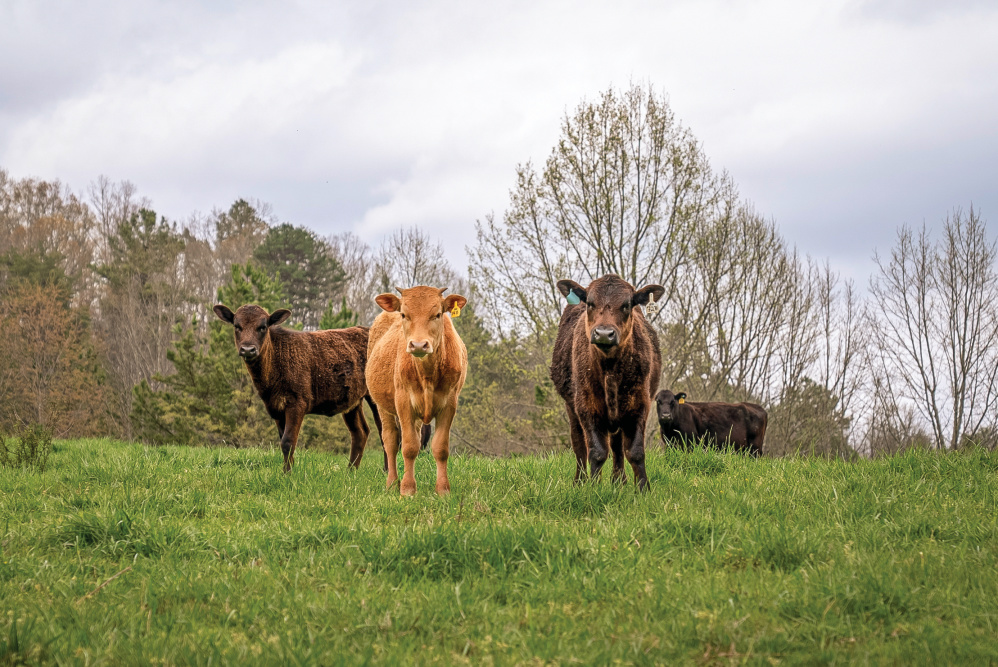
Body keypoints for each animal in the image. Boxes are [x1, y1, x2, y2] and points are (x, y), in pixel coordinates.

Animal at [213, 303, 382, 472]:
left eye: (263, 327)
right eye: (237, 326)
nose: (248, 349)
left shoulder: (297, 403)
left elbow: (288, 441)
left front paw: (287, 473)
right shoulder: (275, 407)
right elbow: (284, 440)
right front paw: (289, 470)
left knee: (383, 430)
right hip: (352, 401)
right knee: (360, 432)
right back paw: (350, 471)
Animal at [365, 286, 468, 496]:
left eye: (437, 314)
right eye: (405, 314)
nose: (419, 344)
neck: (427, 374)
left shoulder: (449, 403)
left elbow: (440, 448)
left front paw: (443, 490)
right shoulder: (403, 402)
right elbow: (409, 447)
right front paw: (407, 489)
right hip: (382, 406)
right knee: (390, 440)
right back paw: (392, 483)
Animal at [550, 274, 664, 490]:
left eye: (627, 304)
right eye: (590, 303)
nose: (604, 333)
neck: (610, 368)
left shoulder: (639, 403)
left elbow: (635, 452)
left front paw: (643, 488)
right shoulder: (586, 405)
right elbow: (596, 452)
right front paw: (594, 489)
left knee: (617, 445)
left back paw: (619, 481)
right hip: (571, 407)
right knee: (579, 446)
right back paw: (580, 481)